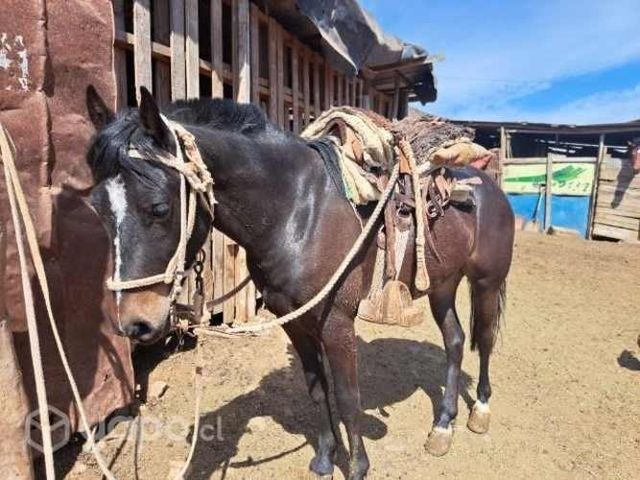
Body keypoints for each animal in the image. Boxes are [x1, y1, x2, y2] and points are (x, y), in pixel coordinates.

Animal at [85, 86, 515, 480]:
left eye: (159, 208)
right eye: (97, 209)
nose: (135, 323)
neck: (296, 209)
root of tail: (489, 184)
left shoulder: (337, 323)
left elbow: (347, 397)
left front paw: (357, 468)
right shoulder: (293, 320)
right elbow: (315, 386)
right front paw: (325, 459)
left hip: (486, 282)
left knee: (485, 339)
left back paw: (480, 410)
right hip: (442, 283)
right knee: (455, 340)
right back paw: (442, 426)